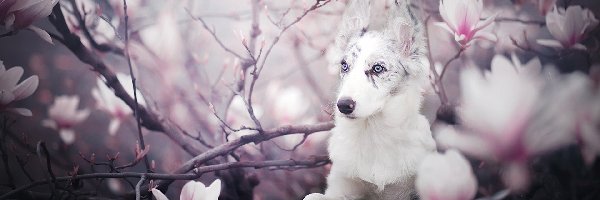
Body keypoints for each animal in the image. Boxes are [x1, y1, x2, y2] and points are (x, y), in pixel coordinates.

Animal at [304, 0, 436, 199]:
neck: (373, 132)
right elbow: (313, 195)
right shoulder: (342, 184)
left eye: (378, 68)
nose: (343, 105)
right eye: (344, 65)